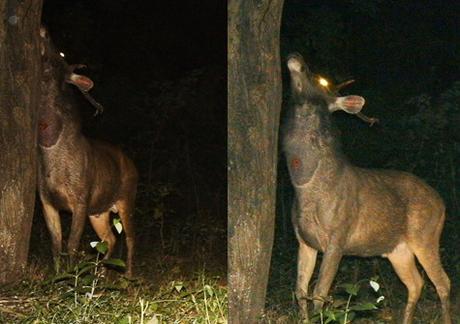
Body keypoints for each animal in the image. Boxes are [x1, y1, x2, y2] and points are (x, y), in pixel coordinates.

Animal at [282, 53, 452, 324]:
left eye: (319, 79)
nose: (295, 57)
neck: (305, 187)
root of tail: (442, 203)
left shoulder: (338, 237)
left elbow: (319, 293)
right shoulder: (304, 241)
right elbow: (300, 291)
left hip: (426, 234)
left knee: (443, 282)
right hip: (397, 249)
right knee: (416, 283)